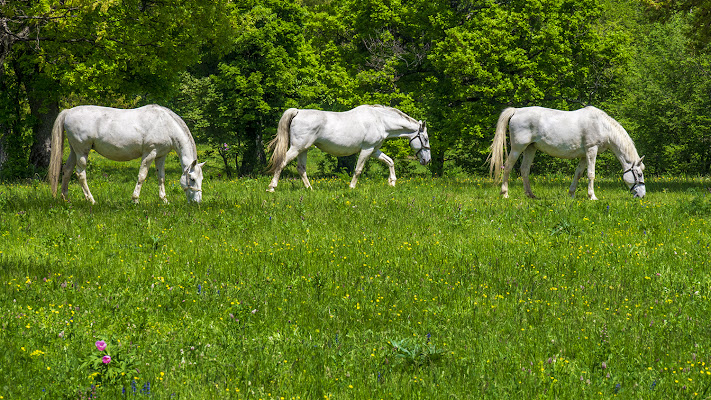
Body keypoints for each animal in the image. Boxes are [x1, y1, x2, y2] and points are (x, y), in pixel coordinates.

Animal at [48, 104, 204, 203]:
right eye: (192, 178)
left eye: (201, 179)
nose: (197, 202)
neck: (165, 124)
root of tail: (68, 112)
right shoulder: (150, 153)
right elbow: (142, 176)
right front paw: (135, 200)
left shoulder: (161, 155)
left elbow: (161, 177)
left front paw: (164, 200)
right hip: (82, 152)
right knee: (80, 174)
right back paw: (91, 200)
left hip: (74, 151)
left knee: (67, 170)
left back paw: (65, 198)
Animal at [268, 103, 432, 191]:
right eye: (425, 138)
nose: (427, 160)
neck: (380, 121)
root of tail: (298, 112)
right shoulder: (366, 149)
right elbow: (358, 170)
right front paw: (351, 188)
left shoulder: (374, 150)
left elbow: (390, 161)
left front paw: (392, 182)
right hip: (297, 148)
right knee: (282, 162)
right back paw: (272, 187)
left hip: (304, 149)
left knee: (301, 169)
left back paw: (310, 189)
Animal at [490, 106, 644, 200]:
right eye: (639, 174)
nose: (642, 195)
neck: (602, 126)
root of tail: (516, 111)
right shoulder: (591, 150)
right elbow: (591, 174)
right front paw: (592, 196)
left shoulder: (584, 155)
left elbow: (578, 174)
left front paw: (571, 194)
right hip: (518, 148)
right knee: (508, 167)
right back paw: (505, 194)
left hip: (530, 148)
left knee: (525, 169)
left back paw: (530, 195)